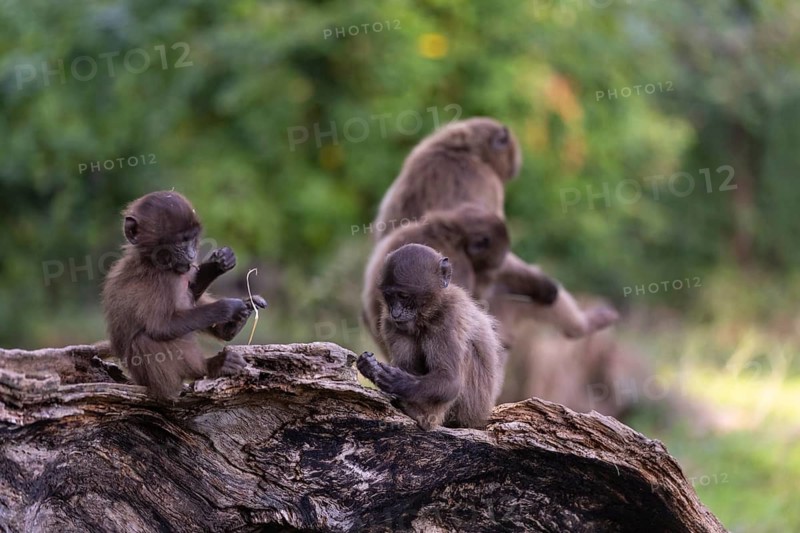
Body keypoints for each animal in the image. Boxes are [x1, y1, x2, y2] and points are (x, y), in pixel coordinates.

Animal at [102, 191, 267, 399]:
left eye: (192, 239)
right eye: (181, 242)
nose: (191, 254)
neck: (153, 262)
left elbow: (191, 295)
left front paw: (218, 264)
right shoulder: (158, 282)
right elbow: (160, 326)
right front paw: (228, 308)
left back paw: (231, 328)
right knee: (144, 340)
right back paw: (210, 367)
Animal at [356, 243, 505, 430]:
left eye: (403, 296)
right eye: (389, 296)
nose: (395, 312)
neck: (430, 313)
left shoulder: (450, 317)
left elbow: (450, 381)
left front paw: (397, 382)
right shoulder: (390, 323)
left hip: (471, 410)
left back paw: (420, 414)